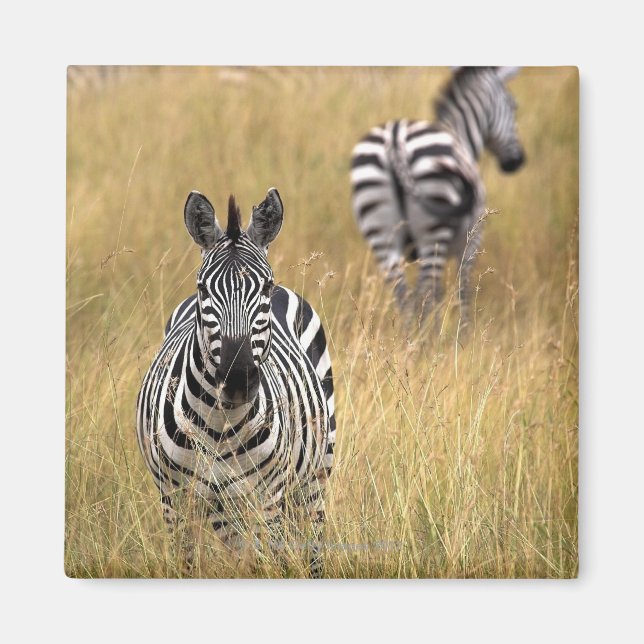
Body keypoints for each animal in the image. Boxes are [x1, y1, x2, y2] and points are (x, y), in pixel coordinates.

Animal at [136, 188, 335, 577]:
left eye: (265, 287)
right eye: (202, 289)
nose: (238, 379)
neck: (219, 423)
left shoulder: (268, 499)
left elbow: (270, 562)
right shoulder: (174, 502)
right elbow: (188, 565)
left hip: (316, 473)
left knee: (312, 541)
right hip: (222, 508)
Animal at [350, 66, 525, 329]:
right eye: (513, 106)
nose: (516, 162)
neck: (461, 136)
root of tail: (395, 138)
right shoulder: (471, 243)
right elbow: (463, 292)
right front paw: (464, 335)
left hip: (380, 231)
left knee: (404, 297)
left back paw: (409, 338)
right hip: (433, 233)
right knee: (425, 295)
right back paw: (423, 338)